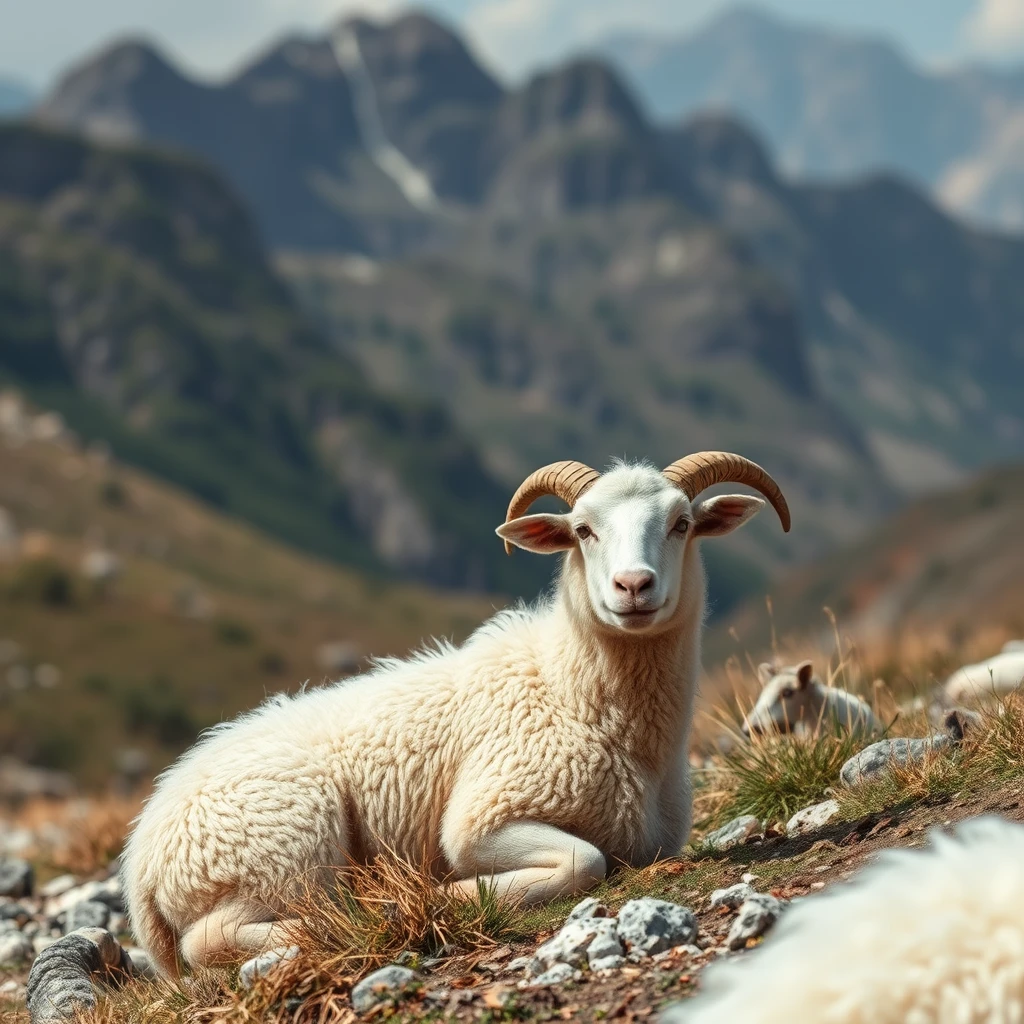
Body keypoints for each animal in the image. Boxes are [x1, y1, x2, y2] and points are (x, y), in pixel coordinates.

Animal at [121, 450, 790, 974]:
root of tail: (140, 860)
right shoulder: (483, 815)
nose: (633, 587)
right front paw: (459, 893)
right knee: (214, 940)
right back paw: (368, 908)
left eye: (682, 524)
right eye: (583, 530)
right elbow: (584, 860)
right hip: (280, 849)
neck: (573, 693)